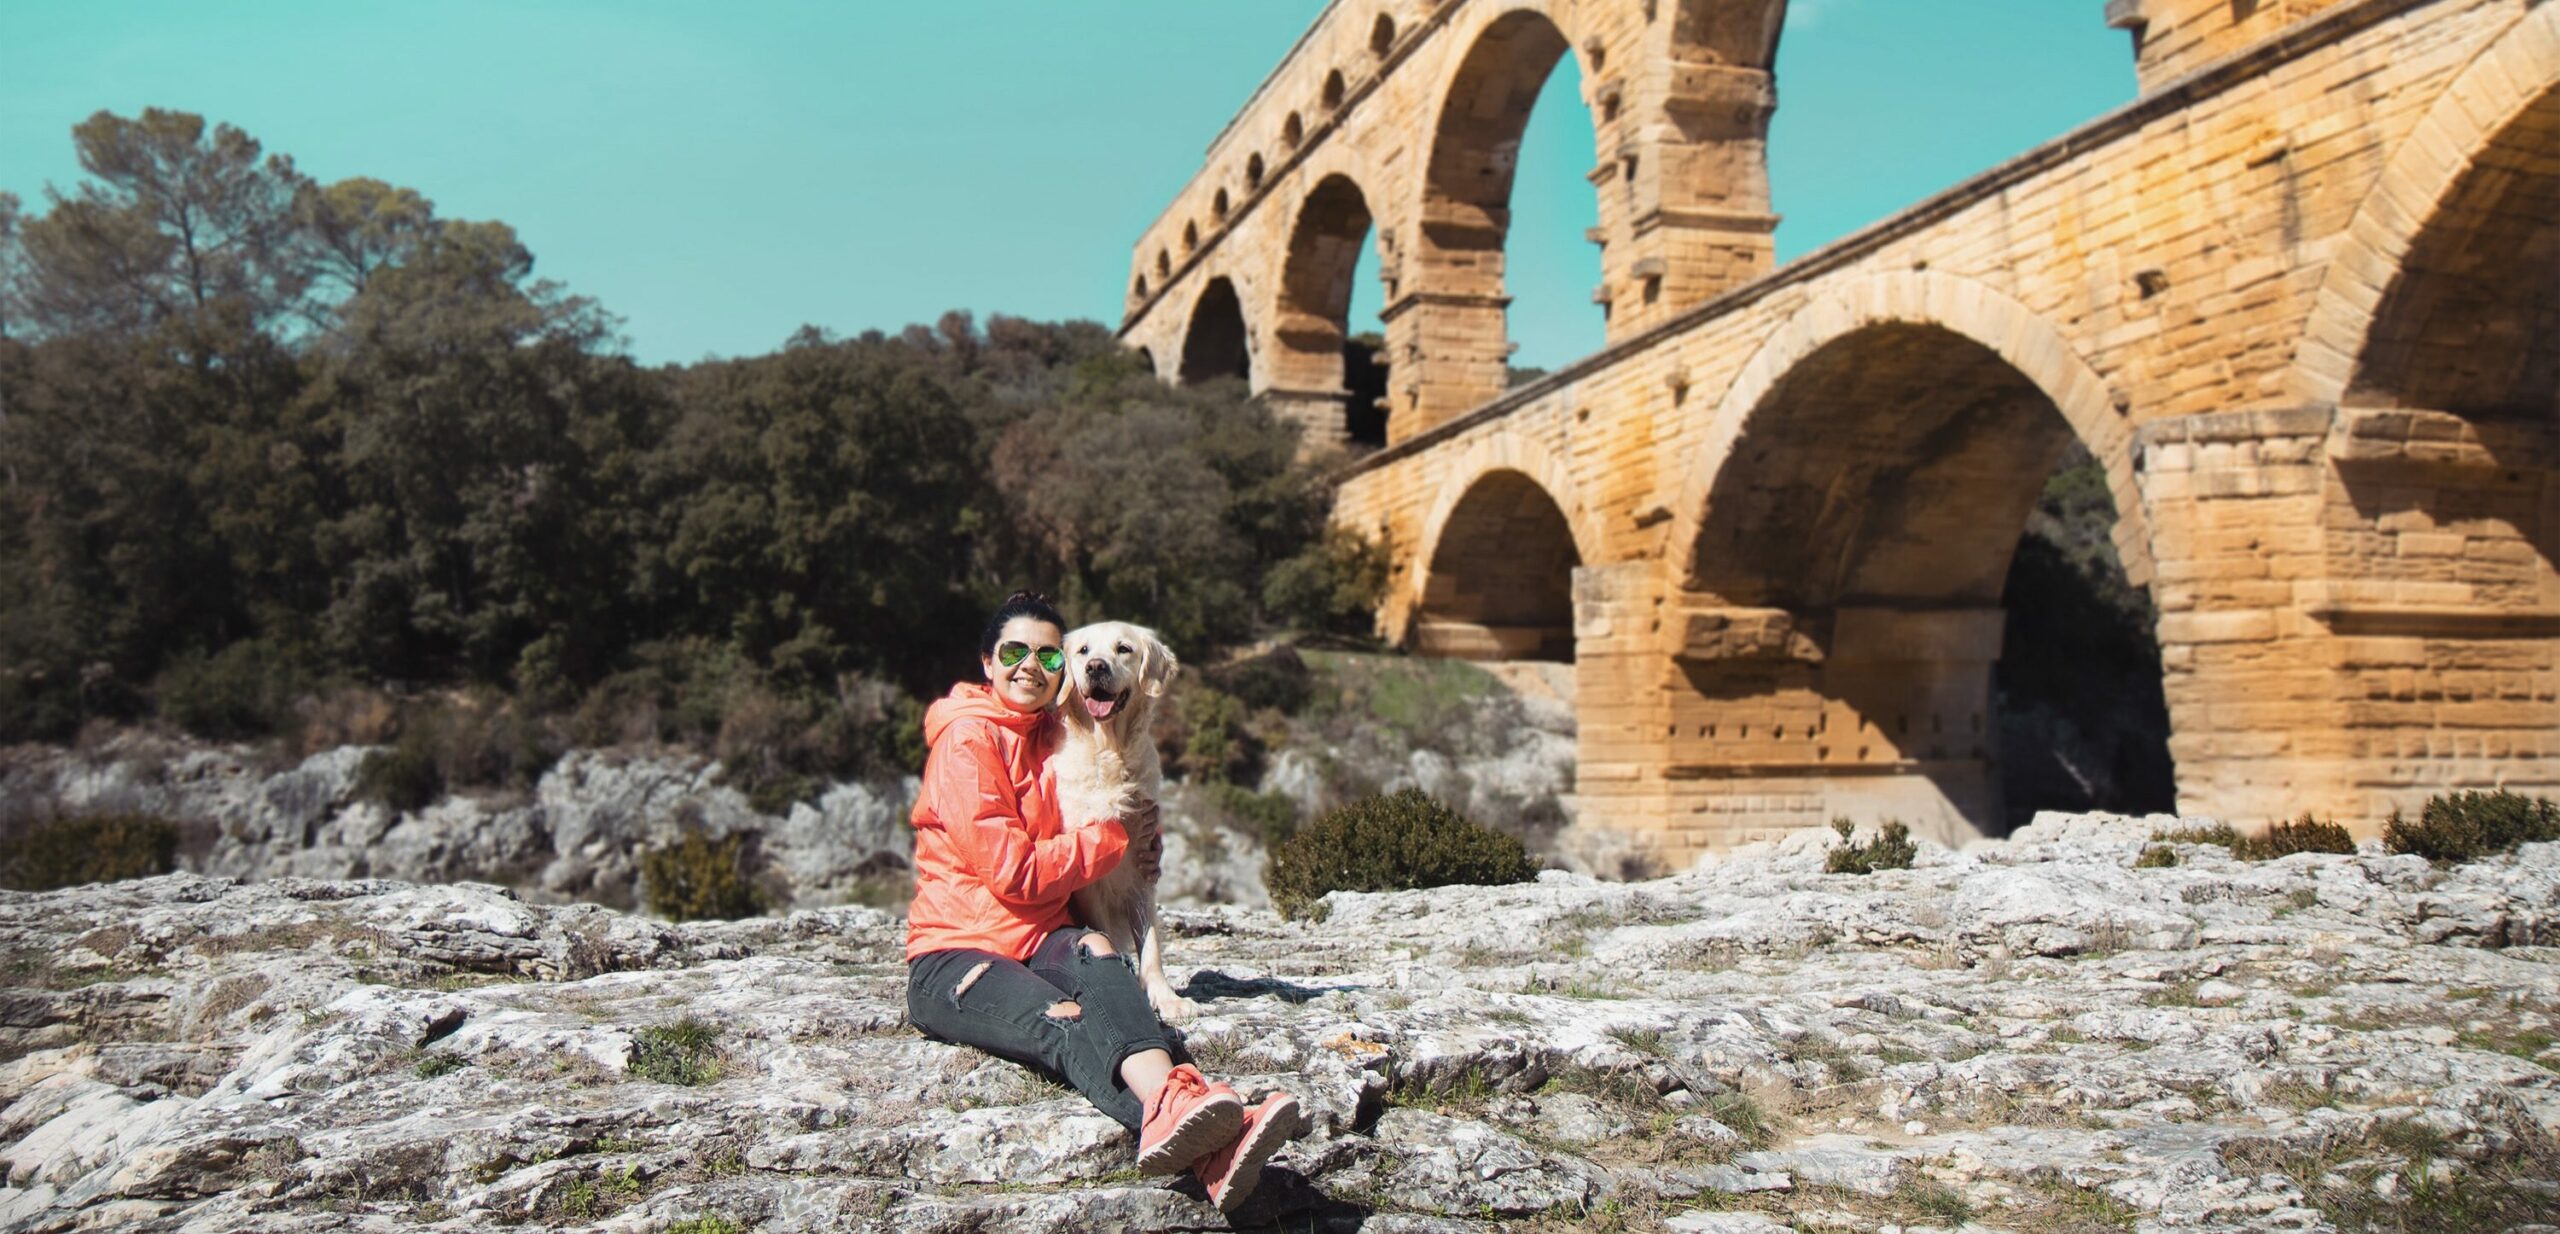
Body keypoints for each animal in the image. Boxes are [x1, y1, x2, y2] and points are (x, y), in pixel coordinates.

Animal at [1049, 627, 1187, 1024]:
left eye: (1123, 648)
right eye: (1083, 651)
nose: (1096, 667)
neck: (1111, 753)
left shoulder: (1142, 872)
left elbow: (1151, 946)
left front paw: (1165, 998)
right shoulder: (1088, 880)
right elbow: (1106, 934)